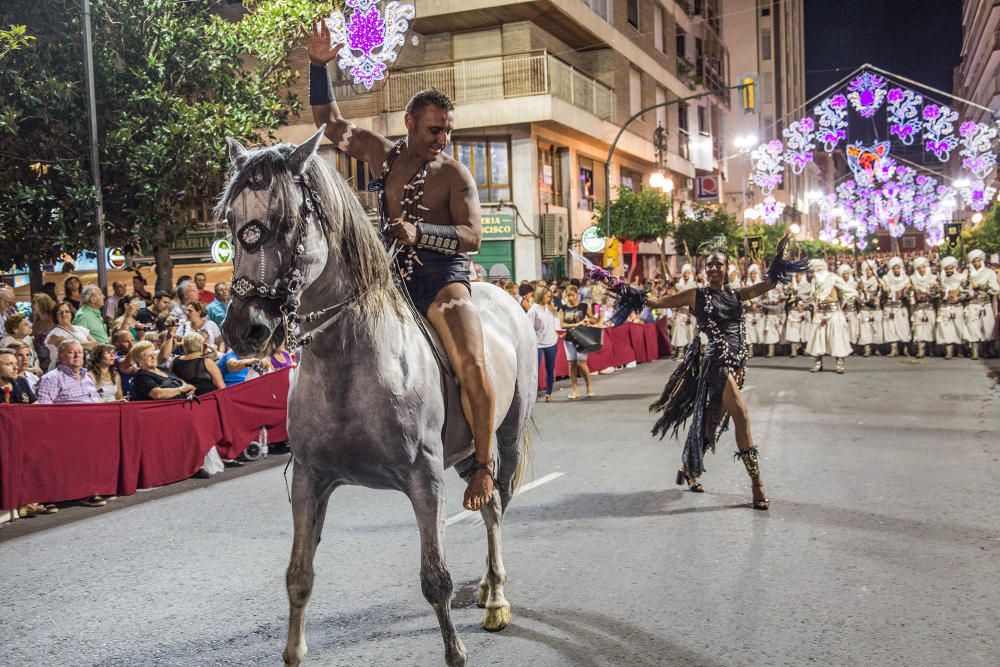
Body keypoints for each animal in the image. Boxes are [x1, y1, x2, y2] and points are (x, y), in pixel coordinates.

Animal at [216, 130, 536, 667]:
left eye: (286, 222)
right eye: (232, 222)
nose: (246, 329)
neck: (350, 359)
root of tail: (507, 298)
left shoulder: (425, 479)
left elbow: (436, 581)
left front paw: (456, 651)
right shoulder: (310, 479)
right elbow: (298, 577)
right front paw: (294, 651)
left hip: (504, 438)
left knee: (496, 504)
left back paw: (496, 595)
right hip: (465, 453)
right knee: (490, 502)